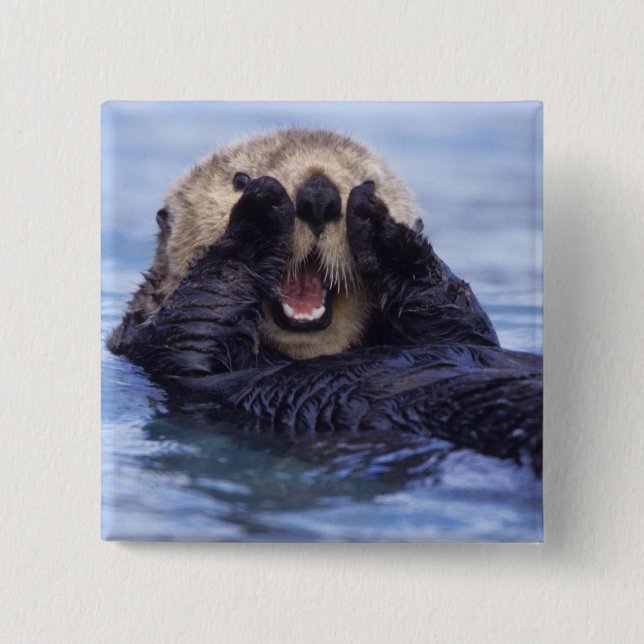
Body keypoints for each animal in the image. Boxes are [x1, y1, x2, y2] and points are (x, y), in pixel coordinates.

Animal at [108, 129, 542, 473]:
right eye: (239, 178)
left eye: (369, 179)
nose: (319, 194)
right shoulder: (159, 348)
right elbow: (196, 318)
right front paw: (260, 210)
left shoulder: (461, 331)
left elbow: (460, 318)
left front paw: (383, 227)